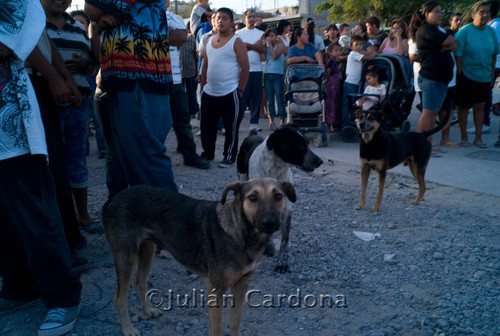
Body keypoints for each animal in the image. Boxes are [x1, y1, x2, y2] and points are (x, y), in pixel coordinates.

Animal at [102, 177, 296, 334]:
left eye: (278, 196)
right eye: (252, 198)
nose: (269, 223)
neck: (242, 232)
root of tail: (113, 199)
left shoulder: (242, 283)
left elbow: (235, 322)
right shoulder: (216, 287)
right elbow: (217, 328)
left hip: (147, 249)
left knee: (140, 282)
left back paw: (148, 310)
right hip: (126, 256)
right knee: (119, 297)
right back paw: (128, 329)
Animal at [236, 126, 322, 272]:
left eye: (308, 144)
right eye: (300, 146)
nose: (320, 161)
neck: (275, 171)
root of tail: (252, 135)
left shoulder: (286, 209)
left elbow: (284, 240)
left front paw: (282, 262)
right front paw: (269, 246)